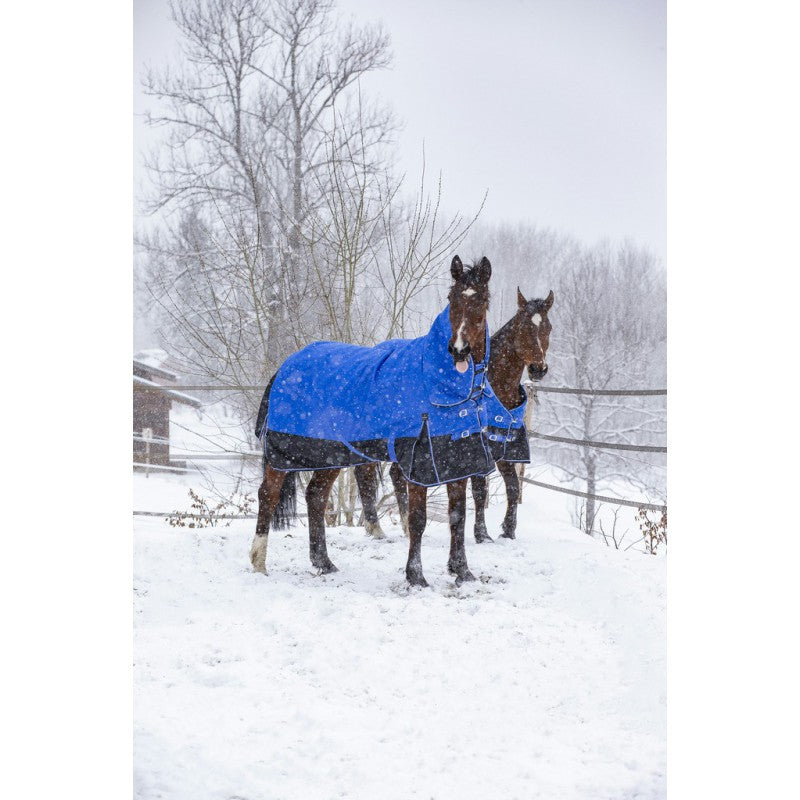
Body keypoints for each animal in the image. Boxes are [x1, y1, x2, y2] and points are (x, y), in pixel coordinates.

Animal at [249, 256, 500, 585]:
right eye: (451, 298)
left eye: (482, 301)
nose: (459, 349)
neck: (442, 386)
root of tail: (284, 367)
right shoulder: (417, 462)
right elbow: (417, 519)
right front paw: (415, 577)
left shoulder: (455, 459)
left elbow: (457, 516)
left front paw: (462, 571)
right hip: (286, 452)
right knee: (268, 495)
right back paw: (259, 563)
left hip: (331, 453)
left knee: (315, 496)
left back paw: (323, 562)